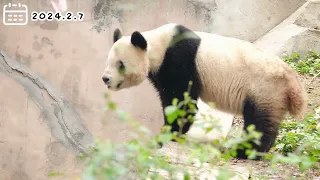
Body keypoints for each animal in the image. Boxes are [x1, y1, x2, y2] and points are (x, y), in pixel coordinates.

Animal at [102, 22, 308, 159]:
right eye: (109, 61)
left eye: (121, 64)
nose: (106, 79)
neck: (157, 45)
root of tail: (292, 82)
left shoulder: (179, 59)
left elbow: (182, 102)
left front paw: (166, 135)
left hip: (264, 88)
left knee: (259, 123)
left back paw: (245, 151)